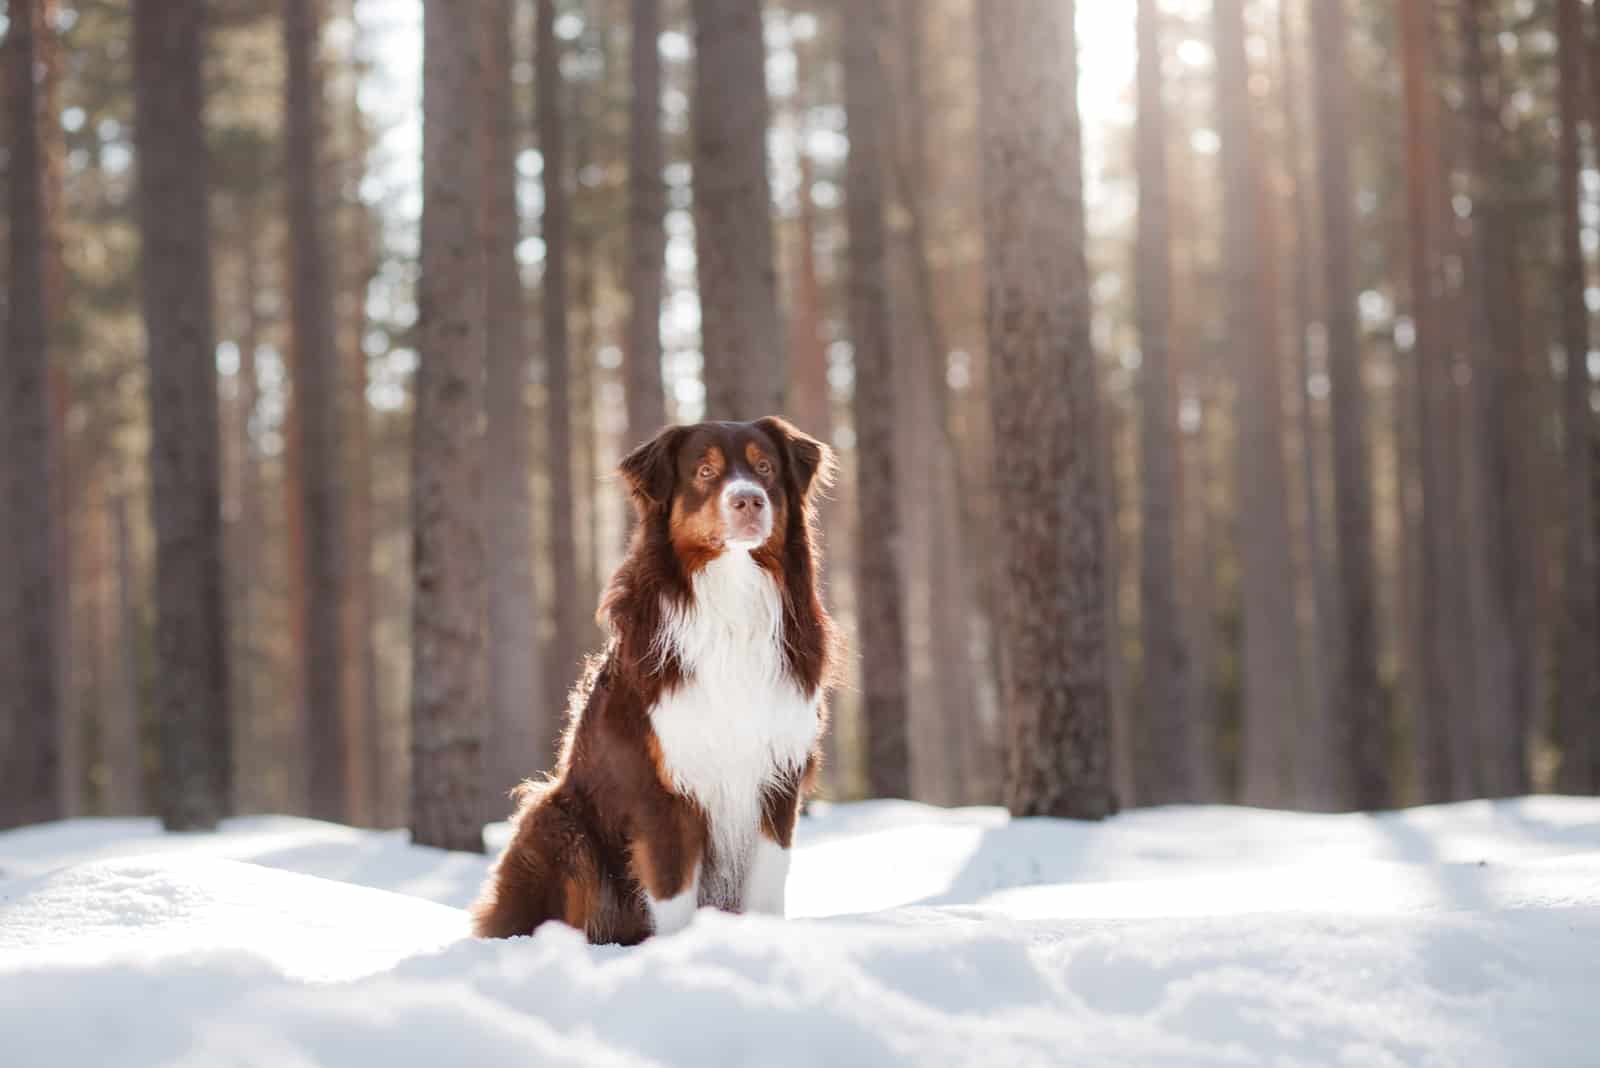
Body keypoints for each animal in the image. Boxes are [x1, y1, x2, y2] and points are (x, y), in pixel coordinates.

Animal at [467, 415, 838, 940]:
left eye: (764, 467)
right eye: (705, 472)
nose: (749, 500)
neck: (731, 599)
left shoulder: (777, 777)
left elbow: (765, 884)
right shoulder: (661, 788)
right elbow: (672, 892)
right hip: (555, 818)